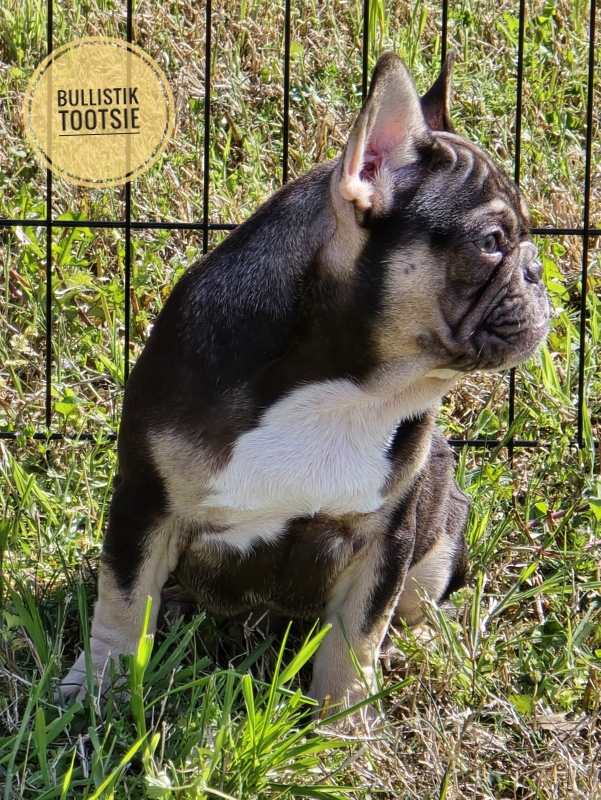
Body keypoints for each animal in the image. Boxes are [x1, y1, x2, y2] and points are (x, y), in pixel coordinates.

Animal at [61, 52, 548, 713]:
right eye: (492, 242)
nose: (538, 269)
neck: (347, 392)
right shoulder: (144, 503)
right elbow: (124, 601)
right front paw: (99, 687)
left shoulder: (387, 537)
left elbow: (358, 634)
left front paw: (345, 722)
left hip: (443, 529)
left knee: (416, 602)